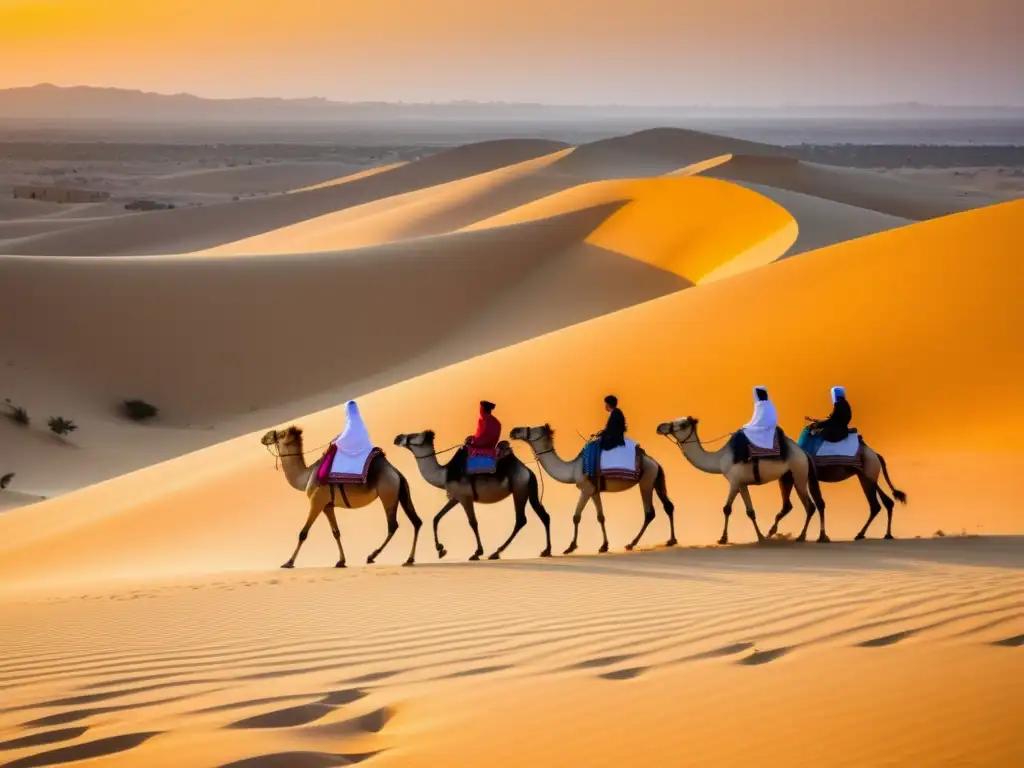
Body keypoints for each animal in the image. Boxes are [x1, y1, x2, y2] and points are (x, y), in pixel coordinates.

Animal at [266, 430, 425, 569]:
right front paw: (341, 561)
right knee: (416, 521)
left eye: (280, 434)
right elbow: (336, 533)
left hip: (388, 493)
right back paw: (409, 559)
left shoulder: (316, 502)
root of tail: (396, 472)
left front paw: (288, 562)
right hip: (401, 492)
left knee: (393, 525)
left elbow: (303, 533)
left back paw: (371, 556)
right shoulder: (327, 506)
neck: (306, 477)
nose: (264, 437)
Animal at [391, 434, 552, 561]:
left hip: (519, 489)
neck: (444, 474)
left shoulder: (465, 497)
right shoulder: (456, 497)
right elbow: (436, 518)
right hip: (528, 489)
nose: (397, 437)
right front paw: (441, 549)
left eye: (413, 435)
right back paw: (546, 550)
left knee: (521, 520)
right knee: (543, 515)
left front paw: (477, 552)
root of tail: (527, 470)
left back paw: (496, 552)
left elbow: (473, 522)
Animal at [509, 428, 671, 552]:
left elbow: (576, 516)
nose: (514, 431)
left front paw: (571, 547)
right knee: (668, 506)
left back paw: (631, 544)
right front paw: (604, 546)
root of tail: (655, 463)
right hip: (655, 480)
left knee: (649, 513)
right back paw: (671, 540)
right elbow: (601, 517)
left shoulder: (586, 489)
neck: (573, 468)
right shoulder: (594, 491)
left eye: (532, 428)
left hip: (646, 480)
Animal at [659, 421, 827, 548]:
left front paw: (723, 538)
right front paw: (760, 536)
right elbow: (750, 511)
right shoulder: (742, 484)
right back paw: (773, 532)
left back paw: (802, 536)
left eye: (682, 424)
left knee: (810, 506)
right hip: (786, 477)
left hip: (799, 473)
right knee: (789, 505)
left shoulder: (734, 481)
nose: (660, 427)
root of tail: (804, 454)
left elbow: (727, 509)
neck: (719, 459)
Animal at [770, 442, 909, 544]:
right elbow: (819, 503)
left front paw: (821, 536)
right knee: (879, 504)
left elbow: (819, 504)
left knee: (882, 502)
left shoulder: (809, 476)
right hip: (865, 476)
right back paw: (869, 534)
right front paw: (822, 536)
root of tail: (876, 454)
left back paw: (881, 534)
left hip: (869, 473)